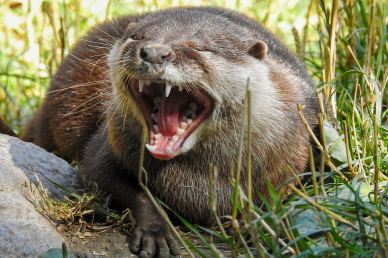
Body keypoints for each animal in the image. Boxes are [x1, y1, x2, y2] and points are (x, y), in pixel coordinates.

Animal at [23, 7, 318, 256]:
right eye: (137, 37)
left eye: (199, 48)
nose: (153, 52)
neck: (195, 182)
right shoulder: (107, 147)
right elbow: (106, 176)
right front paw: (155, 230)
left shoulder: (287, 163)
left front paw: (253, 224)